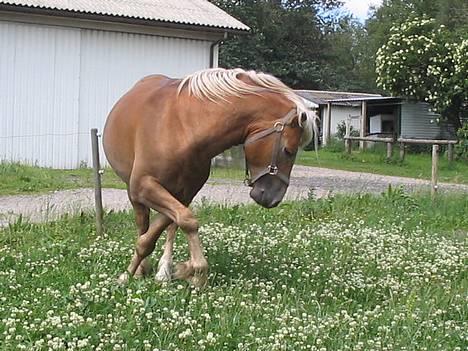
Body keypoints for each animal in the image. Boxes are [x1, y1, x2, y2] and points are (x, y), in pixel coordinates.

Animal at [103, 67, 318, 288]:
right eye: (288, 150)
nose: (273, 198)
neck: (182, 127)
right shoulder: (142, 186)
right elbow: (160, 230)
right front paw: (130, 273)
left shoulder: (185, 193)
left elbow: (175, 223)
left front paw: (189, 270)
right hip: (136, 192)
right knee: (143, 222)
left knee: (170, 227)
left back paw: (163, 271)